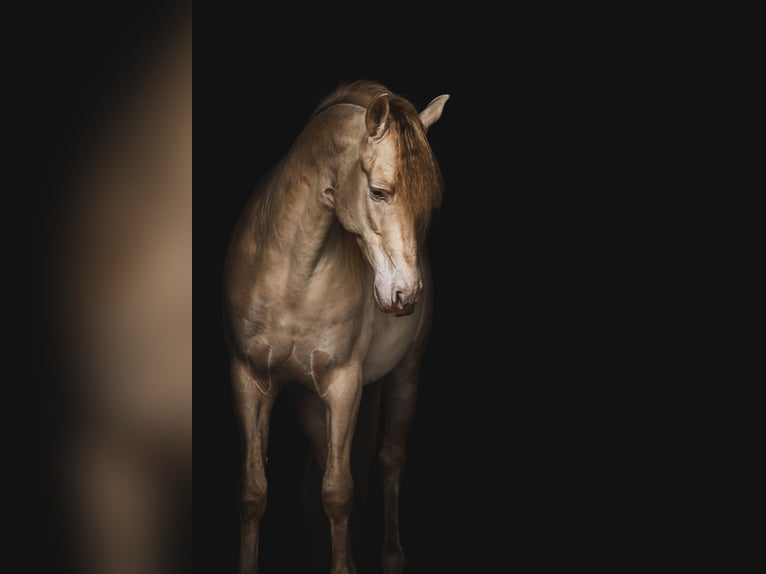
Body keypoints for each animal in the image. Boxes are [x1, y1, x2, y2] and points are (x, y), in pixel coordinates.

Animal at [223, 80, 448, 574]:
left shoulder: (344, 386)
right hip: (309, 403)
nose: (406, 295)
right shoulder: (249, 379)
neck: (291, 274)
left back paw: (391, 556)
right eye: (380, 192)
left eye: (429, 203)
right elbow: (252, 492)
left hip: (405, 374)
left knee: (389, 460)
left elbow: (339, 492)